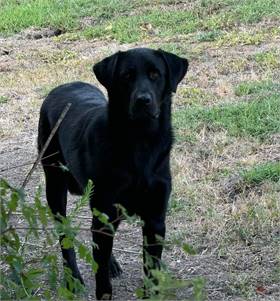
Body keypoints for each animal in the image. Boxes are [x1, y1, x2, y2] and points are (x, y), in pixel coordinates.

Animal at [37, 47, 188, 298]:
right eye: (126, 76)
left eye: (155, 74)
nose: (143, 100)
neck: (140, 142)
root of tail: (59, 88)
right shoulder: (105, 210)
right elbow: (102, 282)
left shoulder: (155, 220)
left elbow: (151, 273)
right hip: (55, 185)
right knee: (65, 235)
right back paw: (73, 278)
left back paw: (111, 263)